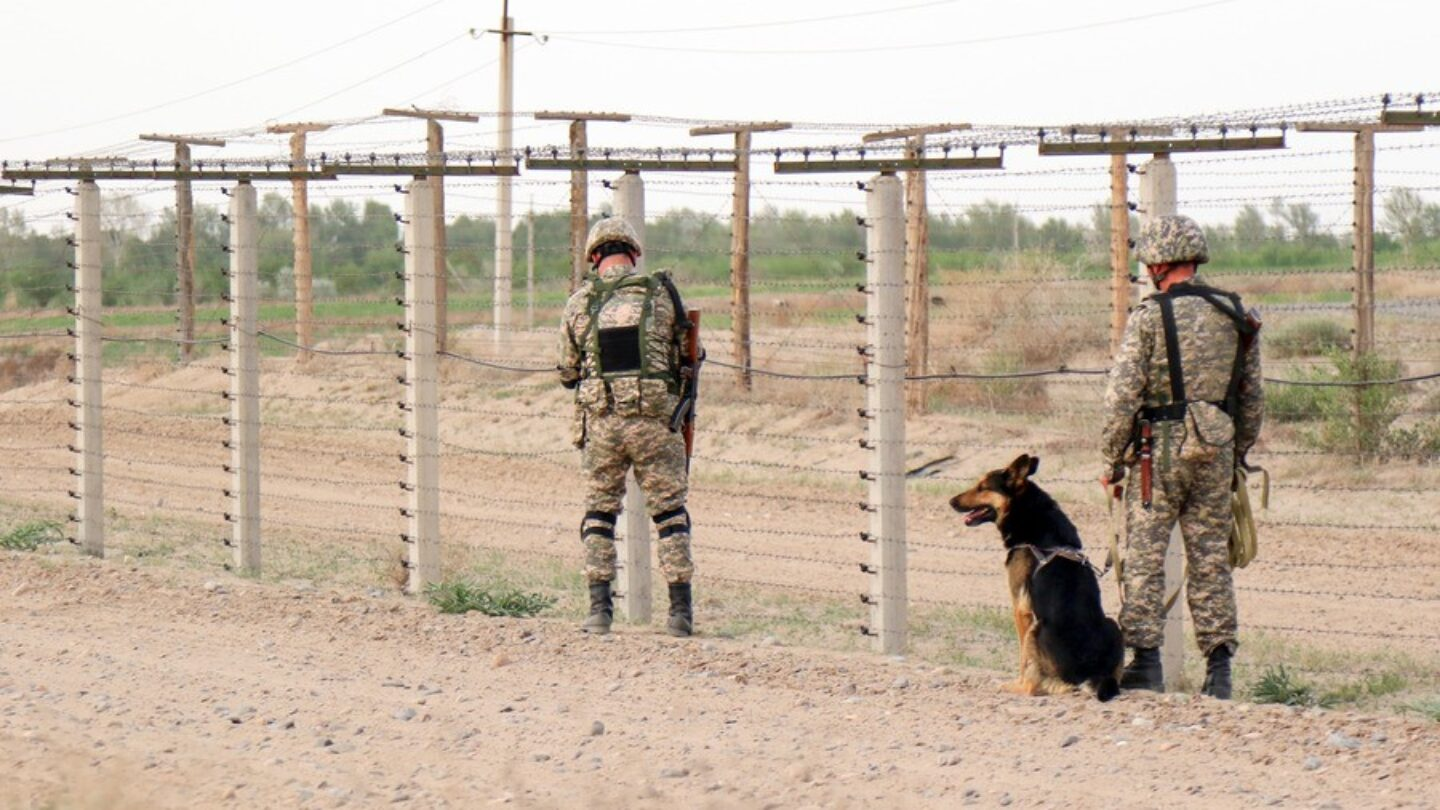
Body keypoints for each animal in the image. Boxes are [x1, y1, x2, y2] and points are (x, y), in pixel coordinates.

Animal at [956, 449, 1123, 697]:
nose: (951, 501)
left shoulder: (1020, 606)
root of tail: (1087, 675)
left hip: (1036, 628)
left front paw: (1017, 679)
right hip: (1114, 625)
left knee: (1031, 685)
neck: (1024, 510)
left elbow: (1022, 659)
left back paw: (1011, 685)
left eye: (981, 487)